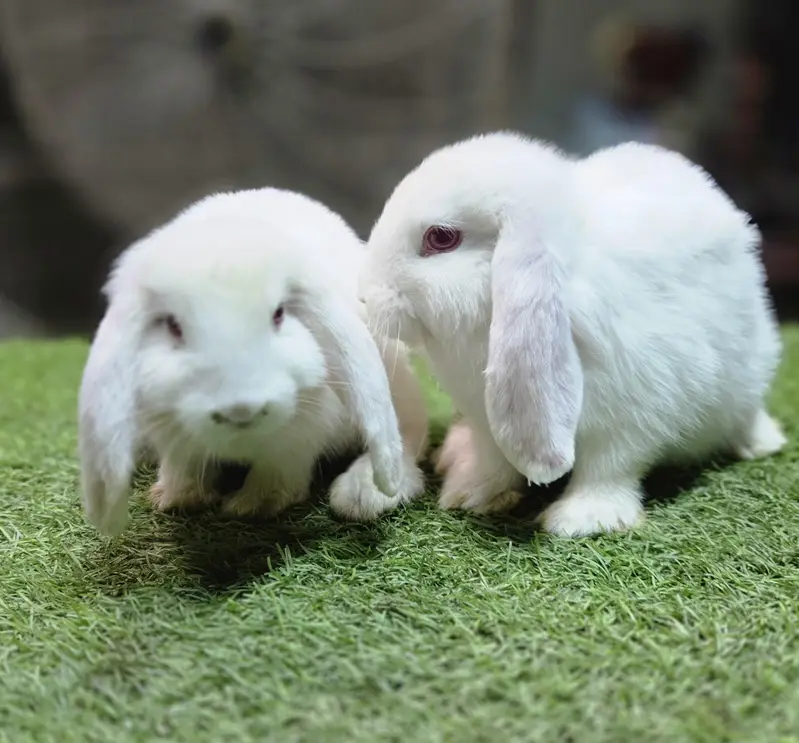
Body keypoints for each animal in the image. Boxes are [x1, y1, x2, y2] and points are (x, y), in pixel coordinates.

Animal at [78, 187, 428, 537]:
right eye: (173, 326)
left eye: (279, 314)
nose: (240, 408)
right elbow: (185, 463)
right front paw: (178, 498)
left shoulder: (300, 435)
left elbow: (278, 470)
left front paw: (254, 506)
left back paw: (362, 494)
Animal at [361, 131, 786, 537]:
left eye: (441, 238)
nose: (365, 299)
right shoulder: (487, 420)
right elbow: (494, 460)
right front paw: (470, 494)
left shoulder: (631, 416)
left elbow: (608, 468)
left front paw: (584, 520)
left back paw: (761, 443)